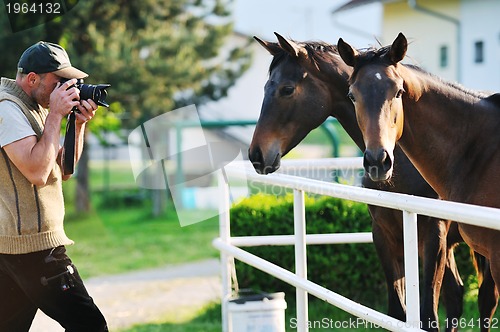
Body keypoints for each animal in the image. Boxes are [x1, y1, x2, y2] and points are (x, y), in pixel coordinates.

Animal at [338, 32, 498, 330]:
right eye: (352, 95)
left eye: (398, 92)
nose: (378, 161)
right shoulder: (385, 235)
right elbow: (398, 310)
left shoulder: (435, 236)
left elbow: (428, 313)